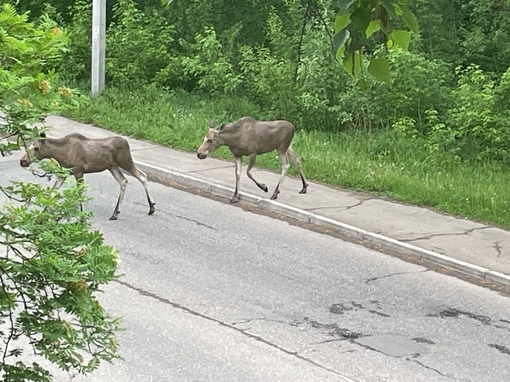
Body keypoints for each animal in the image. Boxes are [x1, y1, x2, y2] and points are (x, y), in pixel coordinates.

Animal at [20, 132, 155, 219]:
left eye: (36, 148)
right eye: (28, 145)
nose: (23, 161)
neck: (60, 154)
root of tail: (127, 143)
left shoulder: (79, 171)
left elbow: (80, 194)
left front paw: (82, 217)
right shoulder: (64, 172)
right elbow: (53, 191)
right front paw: (43, 212)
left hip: (125, 161)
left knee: (142, 176)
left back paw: (151, 208)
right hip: (112, 167)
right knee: (124, 181)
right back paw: (116, 213)